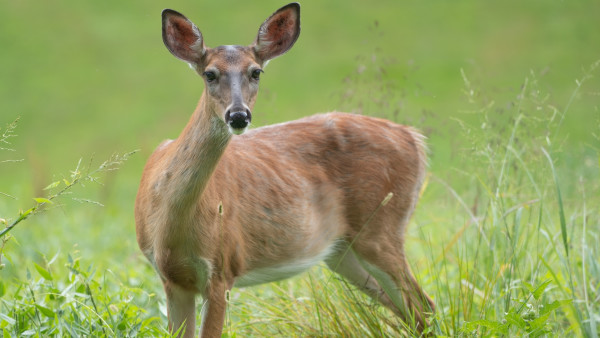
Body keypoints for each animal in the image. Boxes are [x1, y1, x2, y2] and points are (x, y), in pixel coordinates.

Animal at [135, 1, 436, 336]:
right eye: (210, 74)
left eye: (256, 72)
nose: (238, 115)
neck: (170, 223)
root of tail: (414, 138)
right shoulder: (171, 278)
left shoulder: (223, 267)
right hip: (342, 252)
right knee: (411, 309)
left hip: (382, 227)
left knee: (424, 305)